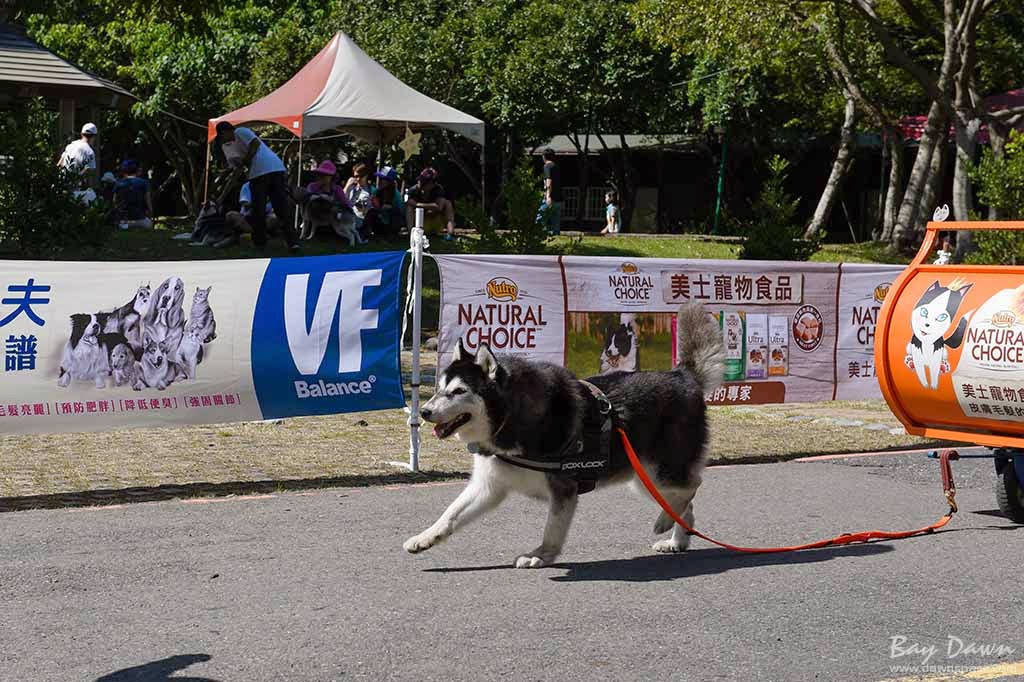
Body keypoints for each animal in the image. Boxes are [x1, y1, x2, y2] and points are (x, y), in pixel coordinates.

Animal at [409, 301, 729, 561]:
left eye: (459, 391)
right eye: (438, 389)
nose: (424, 412)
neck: (511, 417)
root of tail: (683, 375)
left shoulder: (563, 488)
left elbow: (552, 529)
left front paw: (541, 555)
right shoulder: (488, 486)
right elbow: (450, 514)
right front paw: (425, 537)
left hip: (659, 471)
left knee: (691, 487)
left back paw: (664, 522)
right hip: (643, 478)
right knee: (684, 505)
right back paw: (677, 540)